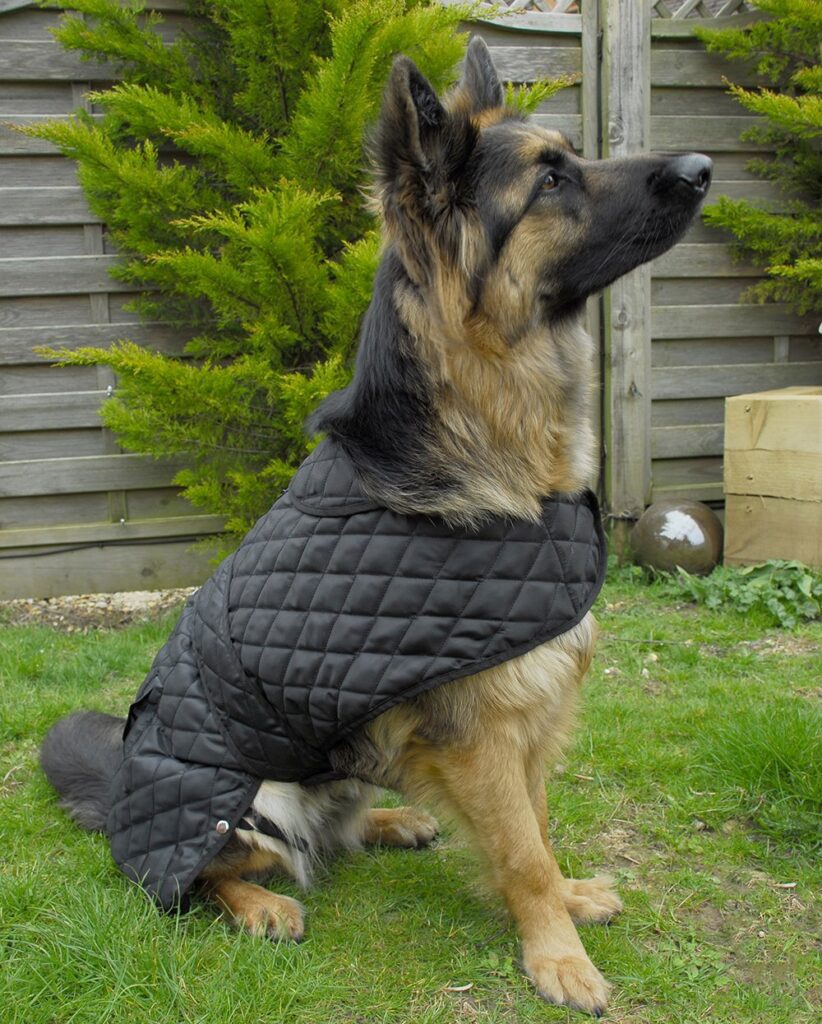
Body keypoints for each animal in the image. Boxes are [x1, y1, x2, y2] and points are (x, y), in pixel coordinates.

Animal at [41, 38, 711, 1016]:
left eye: (572, 157)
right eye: (550, 180)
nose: (703, 167)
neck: (488, 440)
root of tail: (123, 795)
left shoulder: (526, 706)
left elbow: (539, 825)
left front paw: (567, 898)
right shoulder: (480, 726)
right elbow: (520, 847)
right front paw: (557, 954)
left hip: (347, 766)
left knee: (334, 835)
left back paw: (397, 820)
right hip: (247, 805)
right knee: (198, 878)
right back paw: (260, 907)